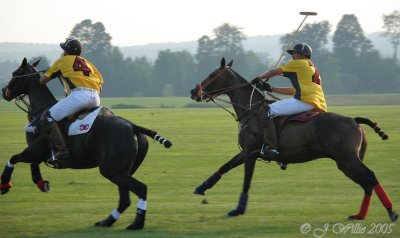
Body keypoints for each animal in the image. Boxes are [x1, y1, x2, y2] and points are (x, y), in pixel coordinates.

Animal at [1, 56, 173, 230]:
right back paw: (107, 221)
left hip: (111, 169)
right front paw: (41, 182)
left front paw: (5, 184)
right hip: (122, 170)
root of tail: (132, 126)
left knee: (140, 189)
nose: (4, 91)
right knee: (125, 198)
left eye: (15, 73)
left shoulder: (35, 150)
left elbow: (13, 158)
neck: (39, 112)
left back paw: (137, 223)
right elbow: (31, 163)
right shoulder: (38, 153)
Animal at [190, 57, 396, 221]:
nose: (193, 91)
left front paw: (238, 209)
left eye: (213, 74)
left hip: (348, 158)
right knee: (366, 183)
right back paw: (360, 215)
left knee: (370, 177)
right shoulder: (249, 151)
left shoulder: (250, 153)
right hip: (344, 163)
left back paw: (391, 212)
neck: (251, 110)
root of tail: (355, 120)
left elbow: (246, 180)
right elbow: (226, 165)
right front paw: (201, 187)